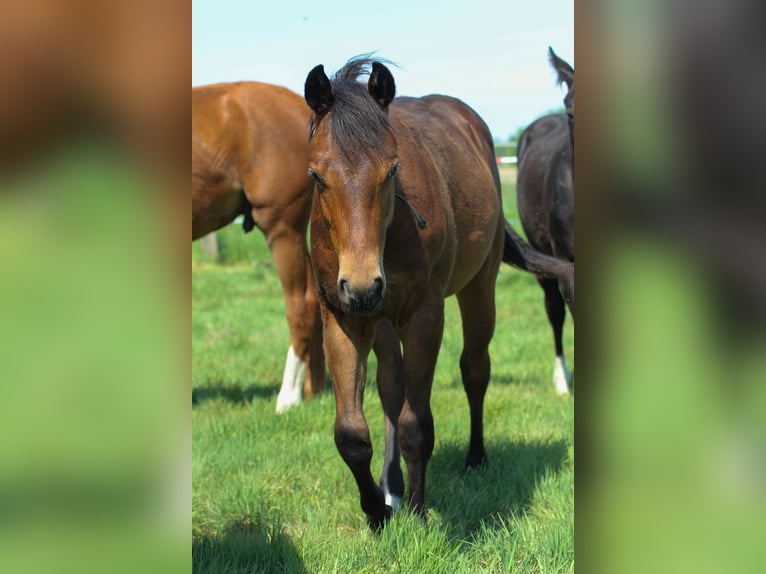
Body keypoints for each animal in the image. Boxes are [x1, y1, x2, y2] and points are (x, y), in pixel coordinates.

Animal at [303, 56, 574, 529]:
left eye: (392, 169)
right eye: (317, 175)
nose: (362, 285)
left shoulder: (425, 316)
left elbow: (417, 424)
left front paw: (417, 512)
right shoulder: (342, 318)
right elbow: (352, 431)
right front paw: (377, 511)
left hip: (478, 289)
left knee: (475, 369)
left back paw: (475, 459)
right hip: (381, 321)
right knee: (391, 387)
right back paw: (391, 484)